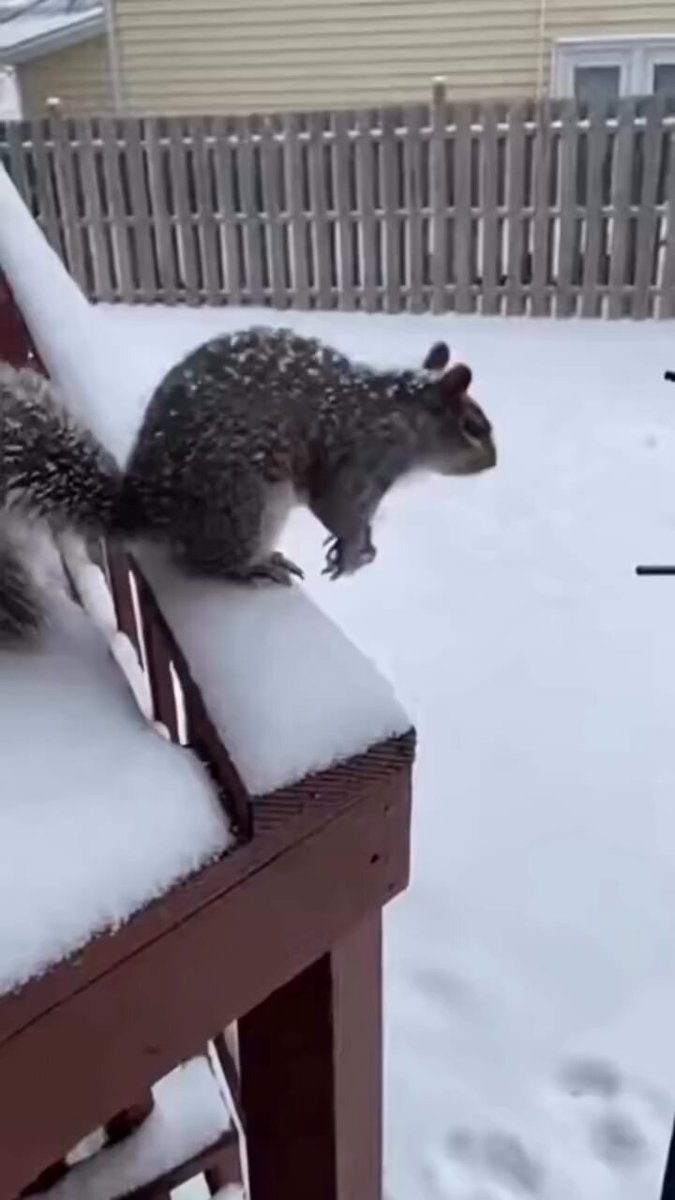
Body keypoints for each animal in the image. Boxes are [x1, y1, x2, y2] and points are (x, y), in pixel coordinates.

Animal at [0, 326, 496, 643]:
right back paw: (254, 566)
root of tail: (150, 509)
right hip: (247, 503)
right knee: (206, 561)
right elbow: (337, 509)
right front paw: (356, 551)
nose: (494, 462)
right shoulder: (352, 462)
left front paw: (359, 547)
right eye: (472, 426)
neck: (396, 417)